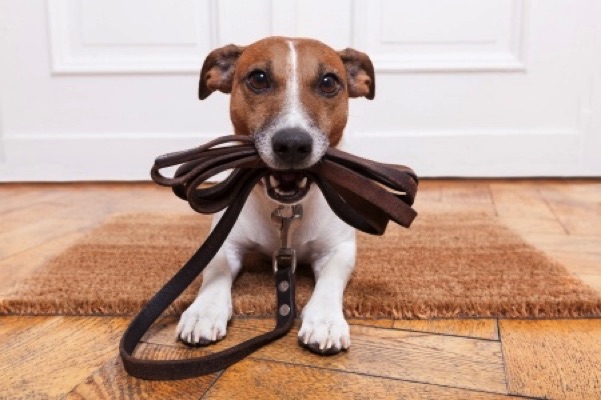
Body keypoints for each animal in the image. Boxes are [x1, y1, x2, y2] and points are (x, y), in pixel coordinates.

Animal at [176, 36, 376, 354]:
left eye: (328, 82)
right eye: (258, 78)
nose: (292, 144)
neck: (285, 209)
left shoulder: (339, 249)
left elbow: (331, 280)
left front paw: (325, 319)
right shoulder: (225, 243)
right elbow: (215, 271)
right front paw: (203, 310)